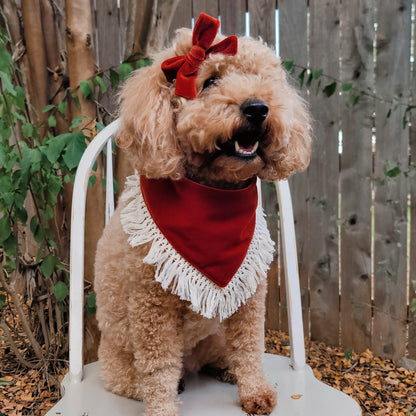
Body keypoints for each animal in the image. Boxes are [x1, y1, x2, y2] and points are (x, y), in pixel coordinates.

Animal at [94, 13, 308, 416]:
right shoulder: (152, 308)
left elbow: (250, 347)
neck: (214, 195)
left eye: (261, 81)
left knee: (225, 353)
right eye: (209, 81)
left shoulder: (250, 294)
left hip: (214, 334)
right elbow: (158, 369)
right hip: (118, 364)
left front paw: (254, 391)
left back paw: (226, 369)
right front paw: (162, 410)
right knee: (144, 377)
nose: (258, 108)